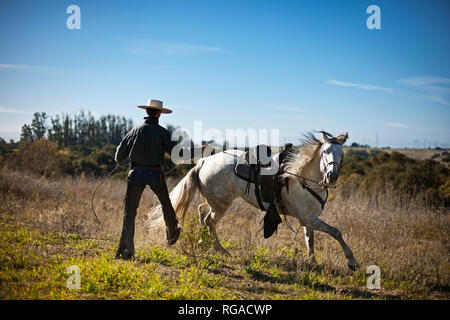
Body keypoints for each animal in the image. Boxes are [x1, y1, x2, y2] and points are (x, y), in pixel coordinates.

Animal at [148, 131, 358, 270]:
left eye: (342, 154)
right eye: (325, 152)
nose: (332, 176)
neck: (301, 177)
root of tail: (204, 161)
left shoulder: (309, 219)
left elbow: (310, 240)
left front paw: (313, 262)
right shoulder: (308, 218)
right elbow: (336, 232)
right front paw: (352, 261)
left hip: (214, 201)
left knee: (201, 211)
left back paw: (202, 242)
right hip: (221, 205)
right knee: (209, 221)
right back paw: (220, 249)